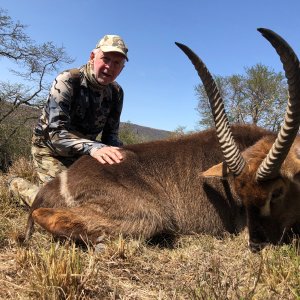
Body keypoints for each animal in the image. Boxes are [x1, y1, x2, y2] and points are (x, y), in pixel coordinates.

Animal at [24, 29, 300, 252]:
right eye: (239, 193)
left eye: (277, 192)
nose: (257, 244)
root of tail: (54, 183)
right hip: (149, 217)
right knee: (42, 214)